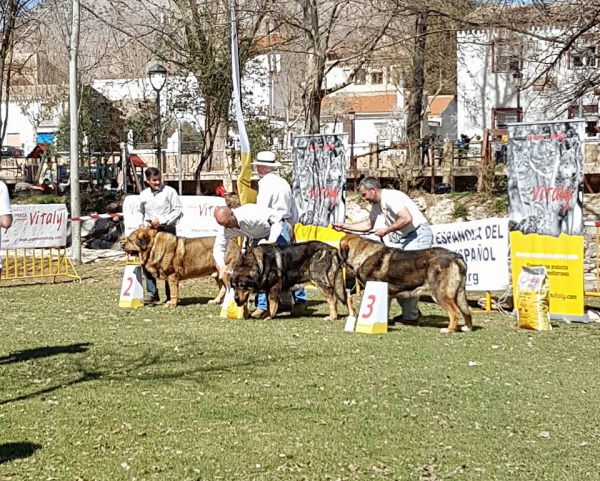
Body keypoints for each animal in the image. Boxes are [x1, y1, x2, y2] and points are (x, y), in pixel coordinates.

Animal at [338, 233, 474, 332]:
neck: (361, 254)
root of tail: (456, 257)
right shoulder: (386, 295)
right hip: (459, 294)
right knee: (467, 310)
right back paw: (467, 328)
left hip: (439, 294)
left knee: (455, 312)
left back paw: (449, 330)